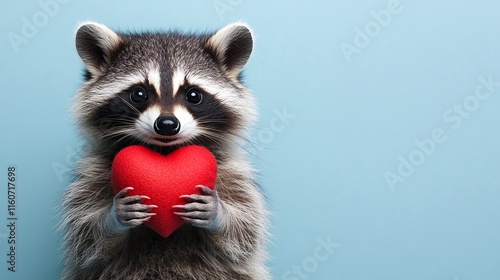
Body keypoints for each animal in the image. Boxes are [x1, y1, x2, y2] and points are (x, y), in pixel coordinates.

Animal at [60, 22, 270, 280]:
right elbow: (86, 239)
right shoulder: (94, 172)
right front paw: (112, 217)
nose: (167, 124)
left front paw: (218, 213)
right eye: (139, 93)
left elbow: (244, 233)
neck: (164, 150)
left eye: (193, 95)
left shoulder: (231, 172)